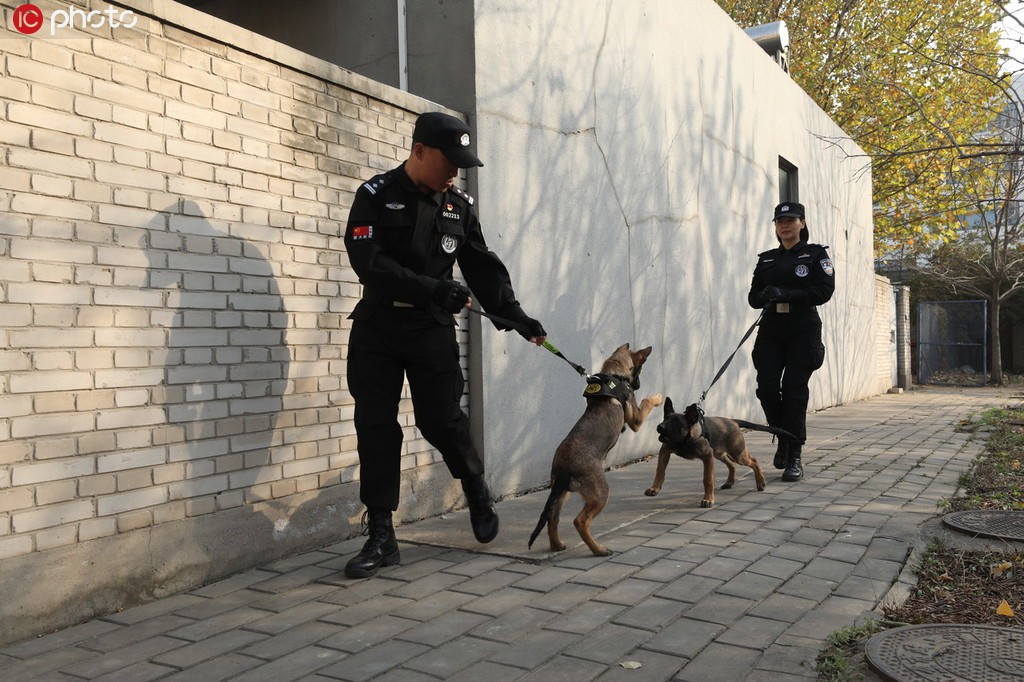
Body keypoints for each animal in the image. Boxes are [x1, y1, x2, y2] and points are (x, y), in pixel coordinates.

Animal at [528, 342, 663, 557]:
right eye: (640, 370)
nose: (639, 385)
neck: (614, 373)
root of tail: (564, 467)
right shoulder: (635, 420)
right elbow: (646, 402)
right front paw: (657, 398)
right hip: (600, 493)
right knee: (580, 521)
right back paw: (598, 549)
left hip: (562, 491)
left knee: (553, 517)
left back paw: (557, 545)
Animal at [643, 399, 786, 503]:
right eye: (665, 418)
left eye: (676, 421)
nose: (659, 427)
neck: (684, 441)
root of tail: (732, 421)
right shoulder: (665, 451)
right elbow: (660, 471)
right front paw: (654, 488)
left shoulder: (707, 457)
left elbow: (708, 479)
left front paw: (708, 499)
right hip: (719, 454)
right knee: (731, 464)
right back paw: (729, 482)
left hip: (737, 454)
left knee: (753, 461)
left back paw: (760, 482)